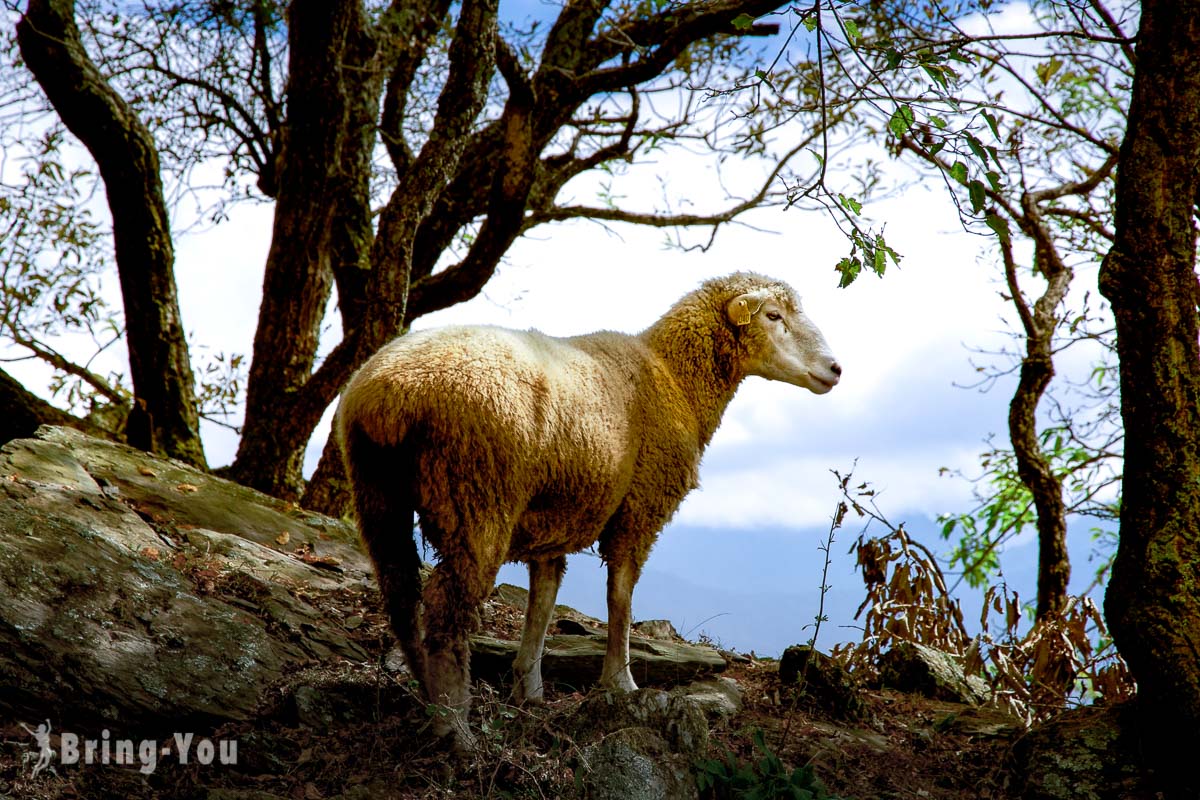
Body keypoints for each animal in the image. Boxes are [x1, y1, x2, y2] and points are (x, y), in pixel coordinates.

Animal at [336, 272, 844, 748]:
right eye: (773, 316)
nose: (836, 368)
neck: (675, 379)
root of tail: (390, 395)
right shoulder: (639, 508)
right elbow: (620, 598)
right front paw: (620, 682)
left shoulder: (556, 517)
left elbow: (543, 600)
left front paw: (529, 688)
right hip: (475, 496)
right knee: (446, 613)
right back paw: (453, 725)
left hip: (377, 493)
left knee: (401, 596)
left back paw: (427, 691)